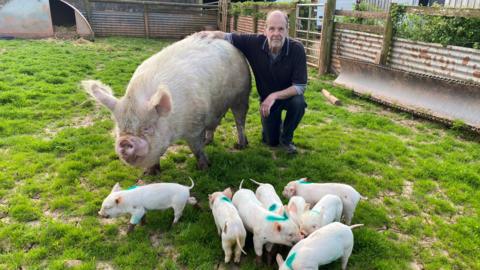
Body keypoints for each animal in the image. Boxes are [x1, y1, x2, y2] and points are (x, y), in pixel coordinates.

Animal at [81, 34, 251, 174]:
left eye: (147, 128)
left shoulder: (195, 125)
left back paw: (240, 145)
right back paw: (209, 141)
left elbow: (196, 148)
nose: (124, 141)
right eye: (120, 128)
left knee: (239, 121)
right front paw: (150, 173)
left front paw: (204, 168)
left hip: (242, 95)